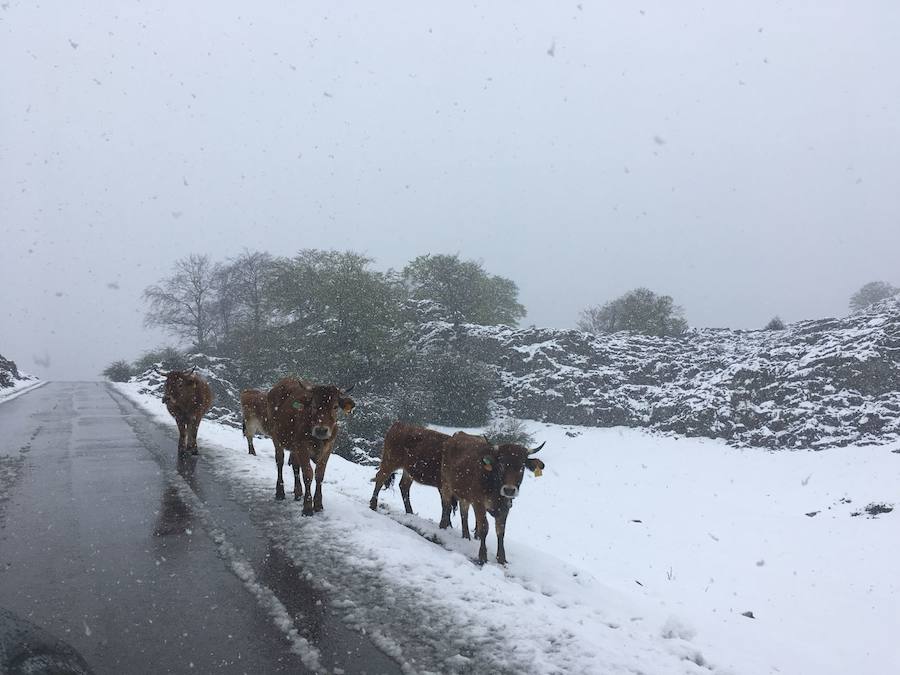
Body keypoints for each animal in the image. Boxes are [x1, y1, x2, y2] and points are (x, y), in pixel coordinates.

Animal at [264, 378, 356, 516]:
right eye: (313, 406)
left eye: (335, 407)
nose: (321, 430)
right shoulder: (302, 447)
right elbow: (308, 474)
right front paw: (307, 507)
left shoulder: (328, 448)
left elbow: (319, 475)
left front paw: (318, 504)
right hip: (276, 437)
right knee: (279, 461)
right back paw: (280, 492)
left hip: (294, 446)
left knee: (295, 465)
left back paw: (298, 492)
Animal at [440, 434, 544, 564]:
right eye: (501, 465)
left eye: (522, 467)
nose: (509, 490)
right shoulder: (479, 503)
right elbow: (484, 527)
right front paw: (483, 556)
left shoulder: (505, 507)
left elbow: (501, 531)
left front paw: (502, 559)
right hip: (446, 485)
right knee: (446, 506)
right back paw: (443, 527)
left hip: (465, 495)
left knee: (464, 513)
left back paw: (466, 537)